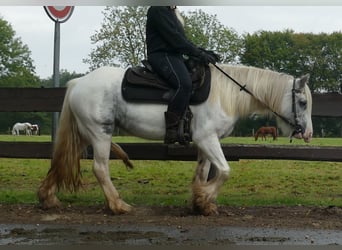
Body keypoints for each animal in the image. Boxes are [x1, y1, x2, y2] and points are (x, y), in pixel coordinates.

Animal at [37, 64, 312, 215]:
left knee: (62, 160)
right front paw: (204, 198)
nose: (307, 133)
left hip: (86, 134)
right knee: (100, 168)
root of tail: (78, 82)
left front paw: (200, 203)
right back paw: (118, 205)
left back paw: (47, 197)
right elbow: (224, 171)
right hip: (100, 133)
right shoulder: (207, 139)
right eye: (302, 102)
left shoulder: (205, 143)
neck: (226, 94)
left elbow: (203, 172)